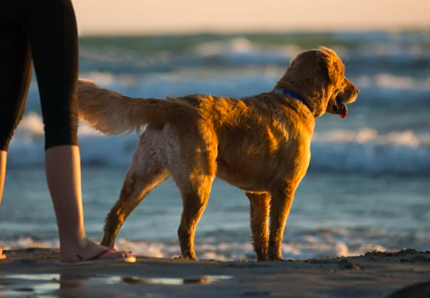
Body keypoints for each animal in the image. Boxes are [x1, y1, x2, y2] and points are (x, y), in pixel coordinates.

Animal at [78, 46, 360, 260]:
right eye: (344, 74)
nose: (357, 90)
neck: (296, 97)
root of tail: (172, 104)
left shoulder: (258, 194)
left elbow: (260, 232)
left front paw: (263, 259)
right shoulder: (285, 187)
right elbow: (277, 229)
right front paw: (278, 258)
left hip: (144, 174)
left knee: (116, 215)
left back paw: (108, 250)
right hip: (199, 180)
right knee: (184, 228)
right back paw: (191, 259)